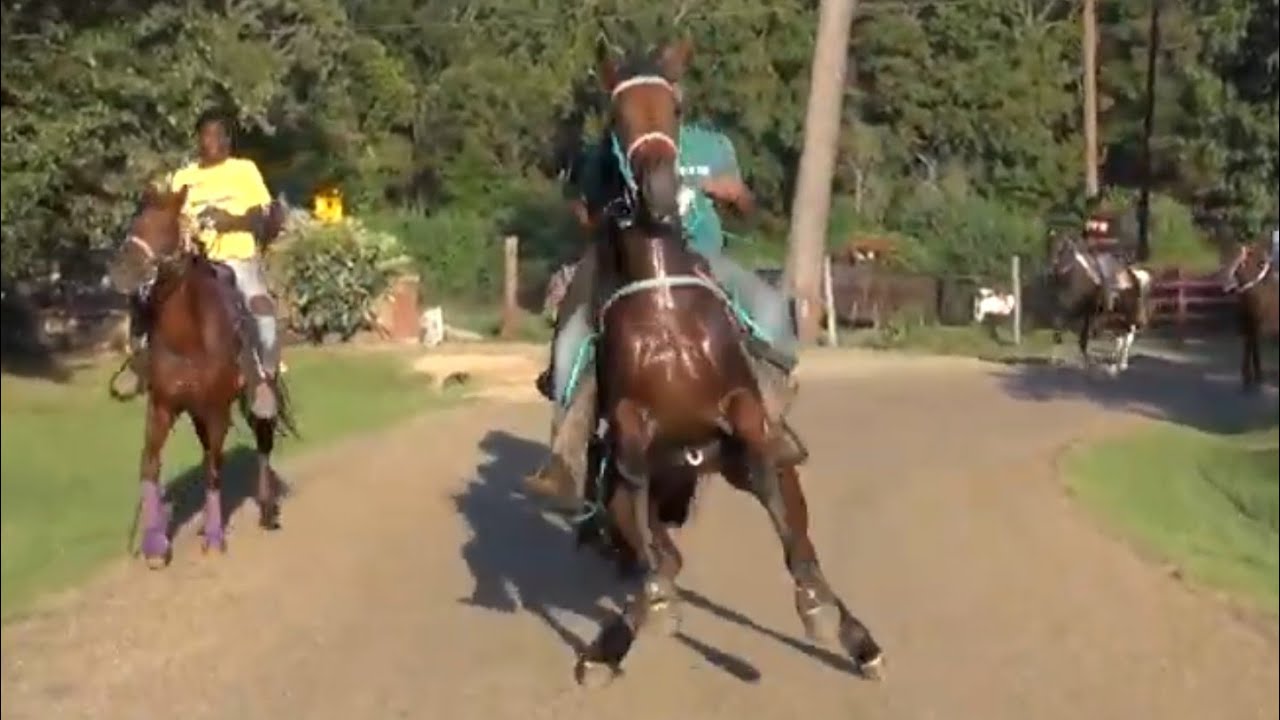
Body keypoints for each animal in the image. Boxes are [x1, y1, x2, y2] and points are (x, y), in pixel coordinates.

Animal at [106, 184, 296, 568]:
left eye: (166, 229)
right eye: (137, 222)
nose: (122, 271)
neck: (189, 339)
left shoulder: (217, 409)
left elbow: (213, 471)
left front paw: (214, 538)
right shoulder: (164, 406)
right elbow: (150, 465)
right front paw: (155, 544)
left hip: (254, 397)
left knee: (262, 443)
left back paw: (267, 510)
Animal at [565, 40, 882, 687]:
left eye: (676, 107)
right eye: (616, 116)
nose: (662, 189)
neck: (665, 306)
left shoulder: (743, 412)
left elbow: (773, 491)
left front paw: (815, 607)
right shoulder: (629, 422)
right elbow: (634, 468)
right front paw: (646, 609)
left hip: (761, 470)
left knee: (797, 534)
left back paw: (855, 636)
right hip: (633, 501)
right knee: (659, 552)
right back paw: (619, 636)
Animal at [1045, 232, 1152, 376]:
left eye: (1062, 250)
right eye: (1049, 247)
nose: (1050, 272)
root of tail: (1133, 274)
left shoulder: (1086, 313)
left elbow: (1083, 338)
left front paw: (1086, 363)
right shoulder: (1066, 310)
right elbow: (1058, 329)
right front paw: (1054, 360)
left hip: (1128, 315)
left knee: (1127, 338)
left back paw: (1122, 364)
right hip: (1117, 317)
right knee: (1121, 338)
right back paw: (1115, 361)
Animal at [1220, 237, 1278, 391]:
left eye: (1241, 264)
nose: (1225, 285)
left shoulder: (1256, 326)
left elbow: (1252, 346)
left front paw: (1253, 376)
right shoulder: (1249, 326)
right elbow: (1250, 346)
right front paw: (1251, 377)